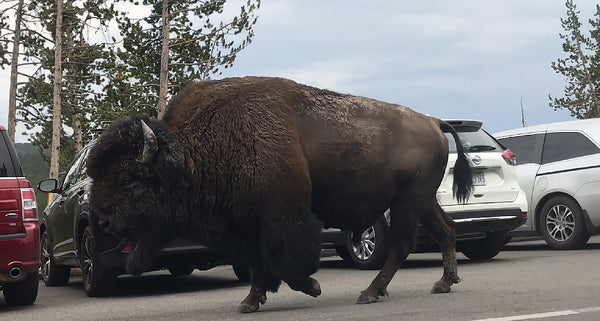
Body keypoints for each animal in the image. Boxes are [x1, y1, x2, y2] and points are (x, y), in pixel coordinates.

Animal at [88, 76, 474, 312]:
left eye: (131, 179)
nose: (102, 221)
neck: (194, 154)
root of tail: (434, 122)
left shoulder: (281, 218)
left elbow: (283, 259)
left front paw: (311, 287)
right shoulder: (243, 227)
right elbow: (259, 263)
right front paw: (250, 301)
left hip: (407, 201)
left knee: (402, 244)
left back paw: (370, 292)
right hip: (422, 201)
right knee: (446, 230)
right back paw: (444, 282)